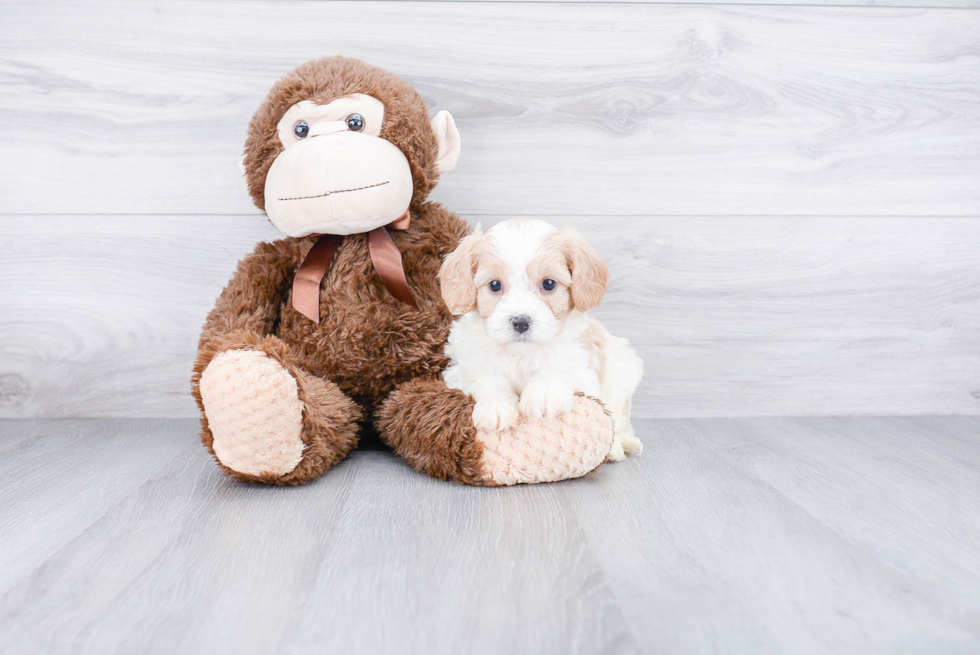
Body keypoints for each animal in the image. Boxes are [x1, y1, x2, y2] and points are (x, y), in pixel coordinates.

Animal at [438, 219, 644, 462]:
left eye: (548, 284)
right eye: (495, 285)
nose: (520, 321)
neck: (521, 354)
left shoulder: (584, 370)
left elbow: (558, 368)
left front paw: (544, 393)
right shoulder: (461, 371)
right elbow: (487, 380)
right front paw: (495, 405)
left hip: (622, 369)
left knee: (619, 421)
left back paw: (616, 448)